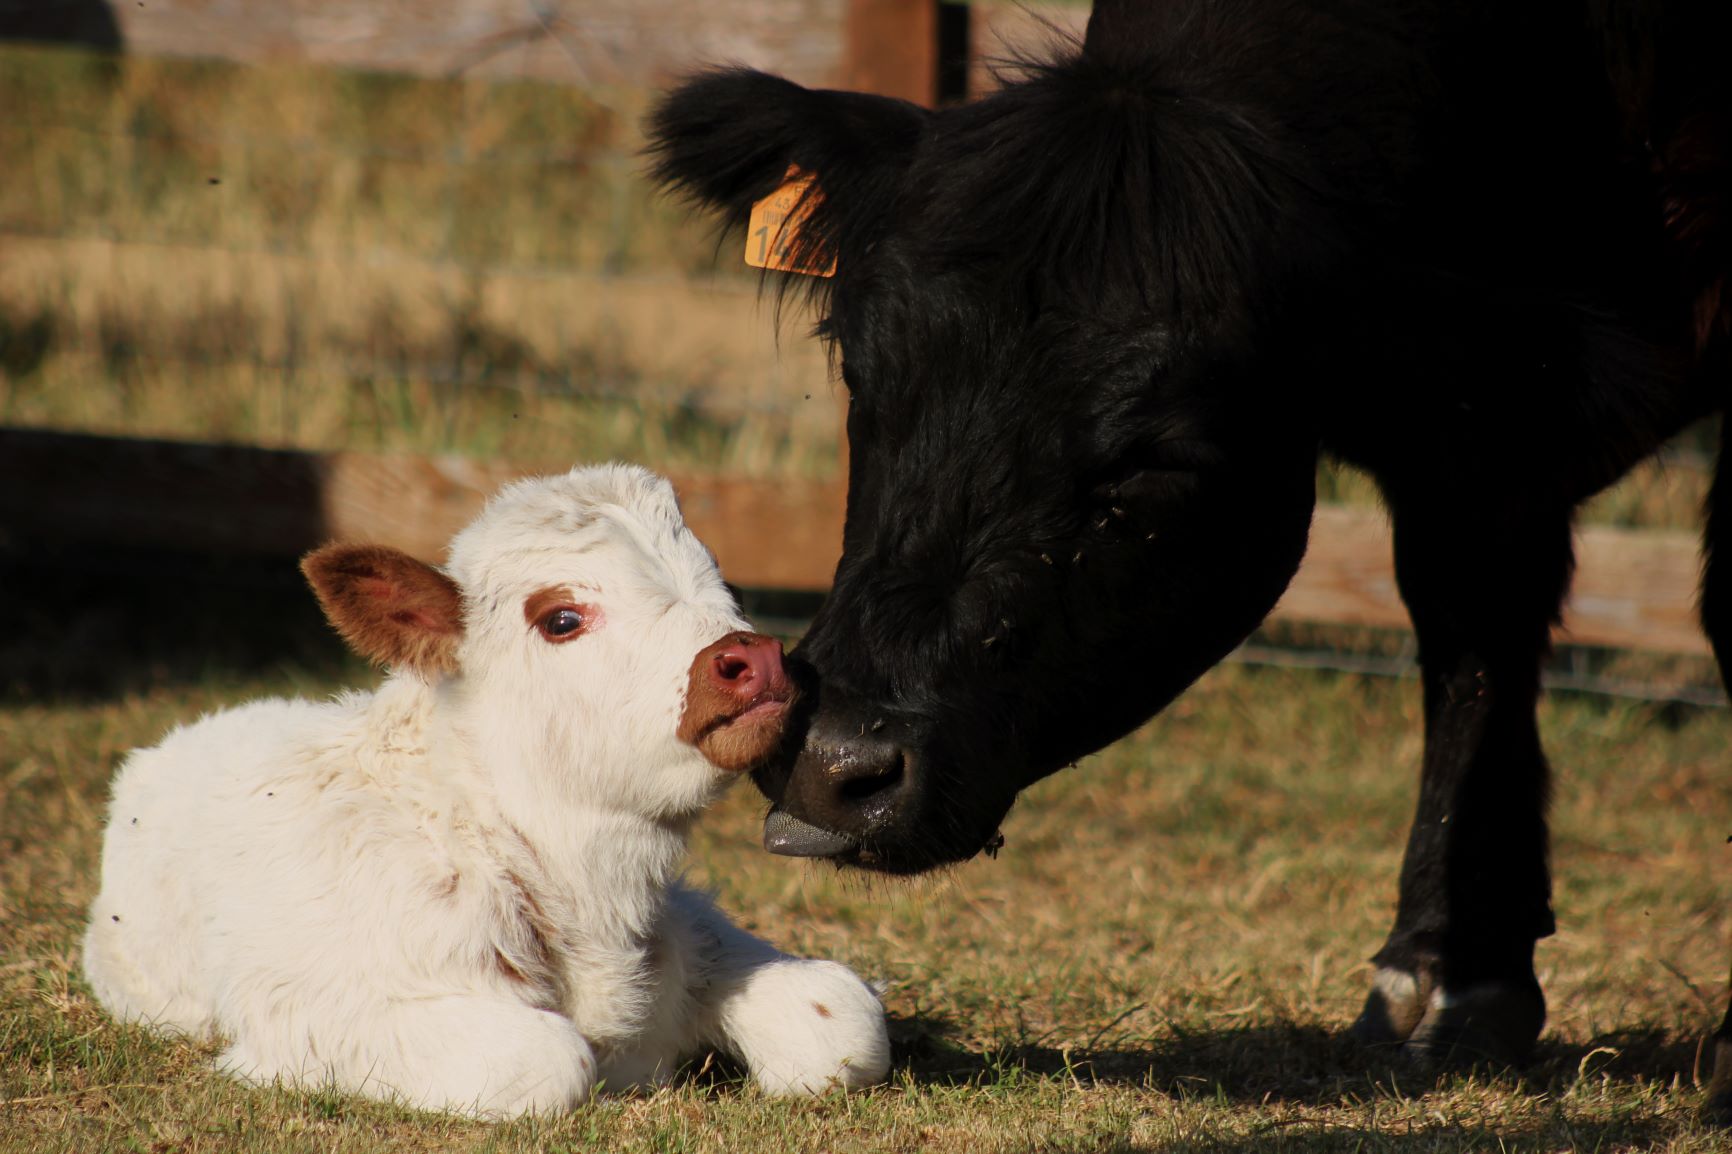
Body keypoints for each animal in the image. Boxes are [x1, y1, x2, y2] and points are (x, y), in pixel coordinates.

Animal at [86, 460, 886, 1115]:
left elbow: (843, 1018)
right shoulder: (318, 1014)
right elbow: (552, 1061)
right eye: (561, 618)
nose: (755, 658)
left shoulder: (695, 929)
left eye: (724, 581)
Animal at [651, 0, 1732, 1115]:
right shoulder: (1466, 448)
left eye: (1153, 462)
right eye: (860, 373)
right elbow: (1475, 636)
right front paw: (1452, 976)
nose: (831, 762)